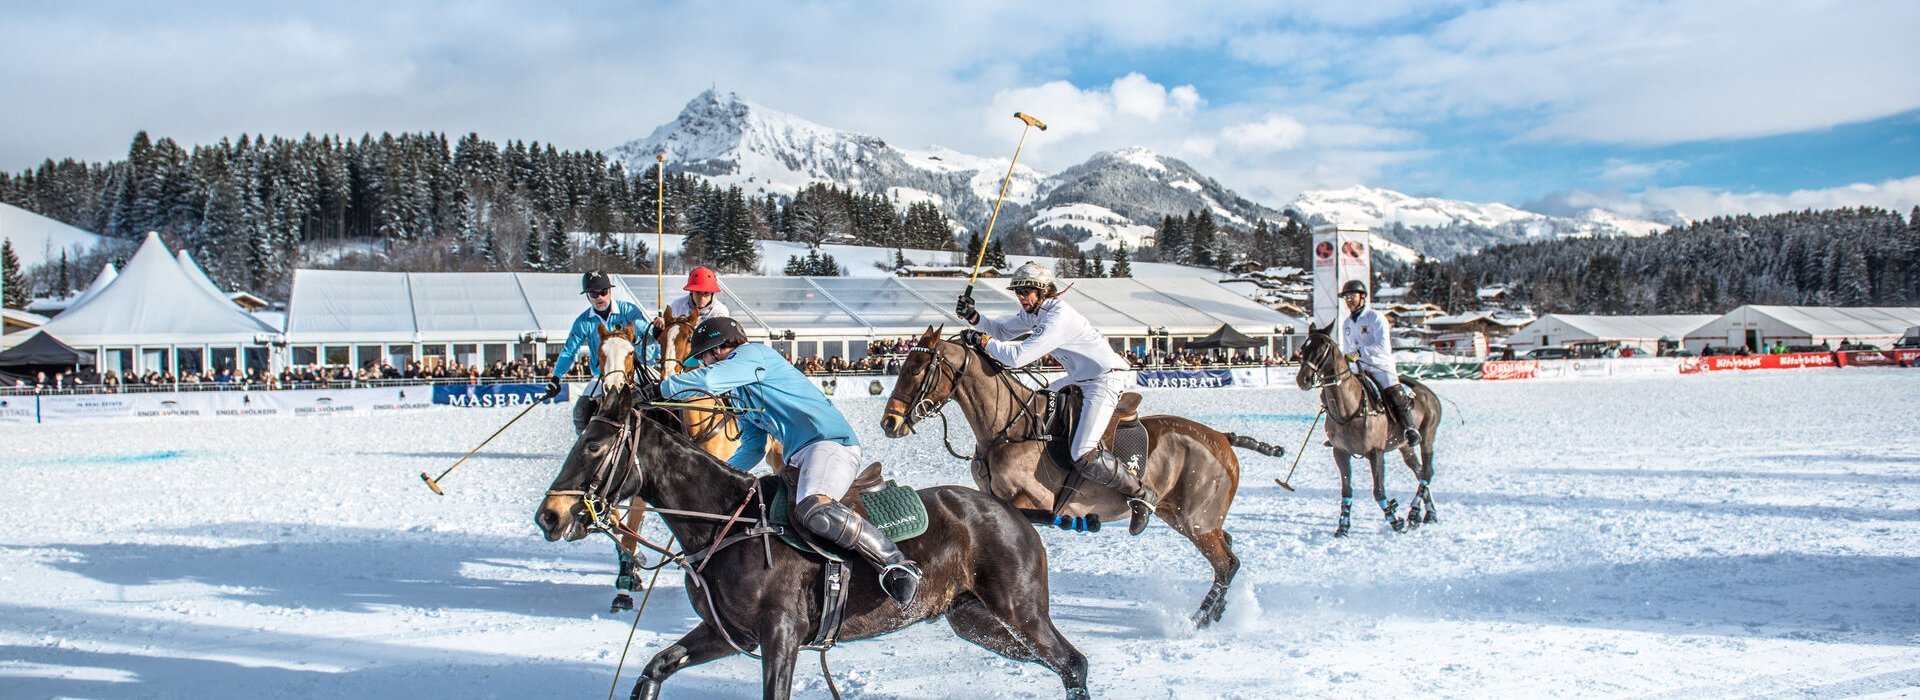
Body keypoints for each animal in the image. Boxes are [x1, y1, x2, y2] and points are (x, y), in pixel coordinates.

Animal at [533, 387, 1098, 698]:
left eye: (594, 445)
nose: (549, 516)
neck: (725, 524)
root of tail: (1015, 511)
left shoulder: (780, 632)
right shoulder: (728, 633)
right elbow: (655, 669)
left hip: (1020, 608)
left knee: (1072, 663)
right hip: (975, 620)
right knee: (1055, 663)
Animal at [1290, 322, 1443, 533]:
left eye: (1322, 348)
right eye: (1303, 347)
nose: (1302, 379)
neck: (1348, 409)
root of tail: (1428, 392)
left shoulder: (1375, 452)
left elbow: (1378, 491)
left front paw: (1395, 521)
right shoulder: (1340, 451)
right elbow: (1346, 489)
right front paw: (1343, 527)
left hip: (1428, 435)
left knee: (1427, 471)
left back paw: (1414, 511)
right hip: (1404, 445)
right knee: (1419, 471)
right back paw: (1428, 513)